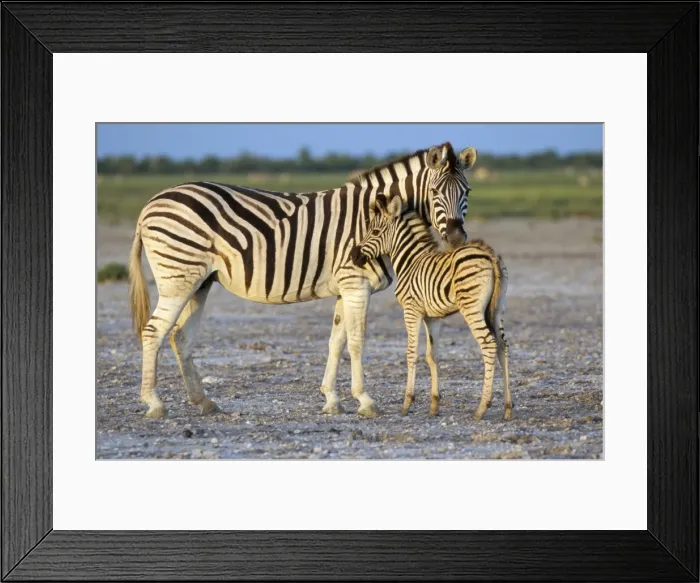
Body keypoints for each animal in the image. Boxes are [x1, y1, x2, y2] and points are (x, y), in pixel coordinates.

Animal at [128, 142, 477, 419]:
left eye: (467, 192)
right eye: (434, 192)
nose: (457, 239)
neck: (372, 218)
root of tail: (150, 204)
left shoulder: (344, 288)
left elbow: (336, 342)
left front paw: (331, 399)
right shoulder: (356, 284)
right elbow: (357, 341)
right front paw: (365, 400)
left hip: (199, 282)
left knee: (180, 336)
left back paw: (204, 402)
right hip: (178, 278)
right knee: (153, 332)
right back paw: (154, 403)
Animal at [350, 193, 511, 420]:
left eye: (374, 232)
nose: (353, 256)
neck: (410, 262)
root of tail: (489, 254)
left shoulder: (411, 310)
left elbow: (411, 352)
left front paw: (407, 403)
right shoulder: (432, 317)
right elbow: (431, 355)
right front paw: (434, 405)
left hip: (472, 308)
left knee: (489, 344)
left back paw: (482, 407)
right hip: (497, 309)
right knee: (502, 345)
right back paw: (507, 407)